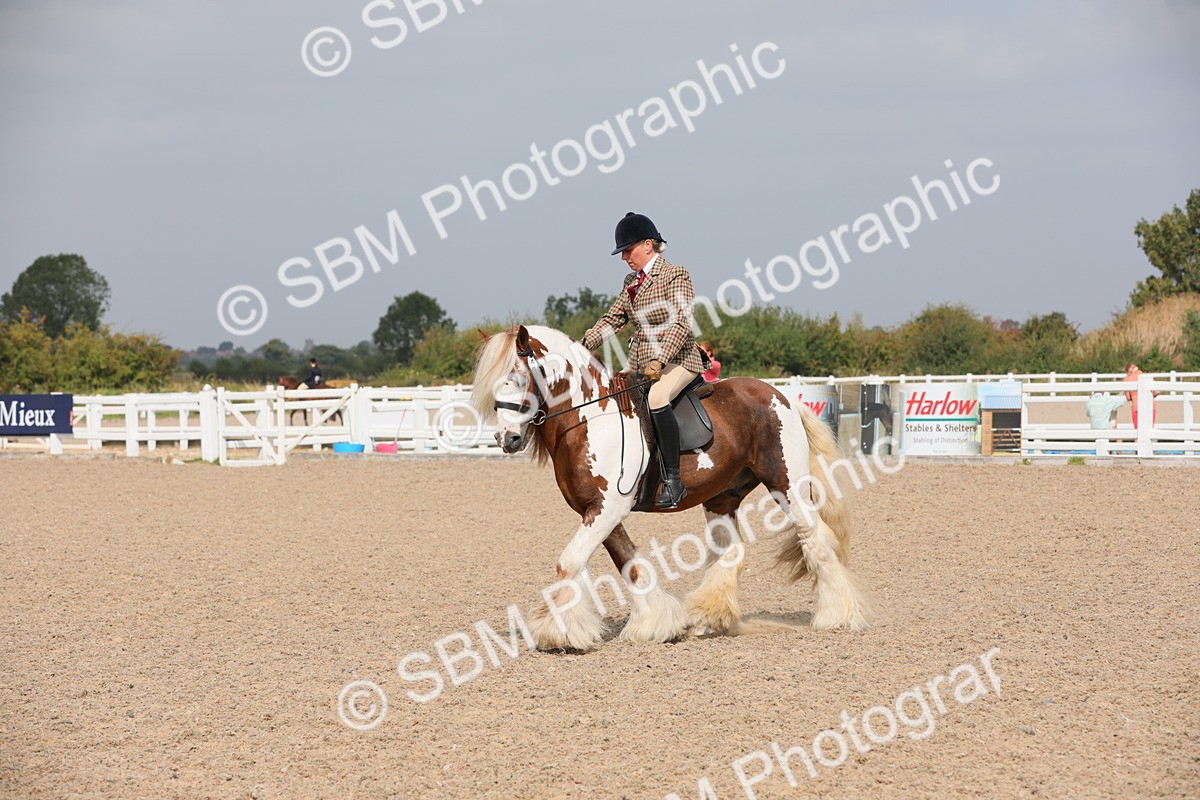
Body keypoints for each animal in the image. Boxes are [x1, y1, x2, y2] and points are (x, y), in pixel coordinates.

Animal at [470, 324, 871, 651]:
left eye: (518, 379)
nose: (507, 439)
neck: (589, 418)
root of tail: (781, 398)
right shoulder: (598, 511)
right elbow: (630, 564)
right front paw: (656, 624)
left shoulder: (606, 508)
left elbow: (569, 563)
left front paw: (561, 634)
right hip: (722, 497)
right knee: (731, 552)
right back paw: (706, 618)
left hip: (786, 486)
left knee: (815, 539)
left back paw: (836, 616)